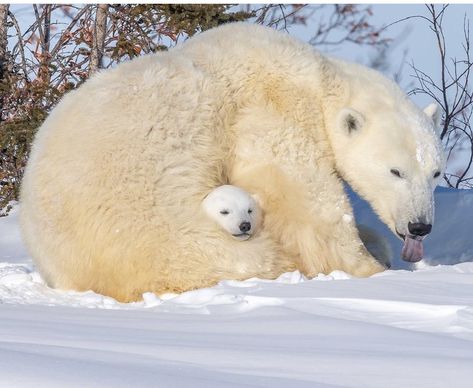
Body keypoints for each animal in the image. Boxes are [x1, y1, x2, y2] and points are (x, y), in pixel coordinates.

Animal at [20, 22, 444, 302]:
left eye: (435, 172)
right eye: (395, 171)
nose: (420, 226)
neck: (317, 79)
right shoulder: (270, 109)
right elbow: (304, 197)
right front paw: (370, 268)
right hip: (159, 229)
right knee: (240, 257)